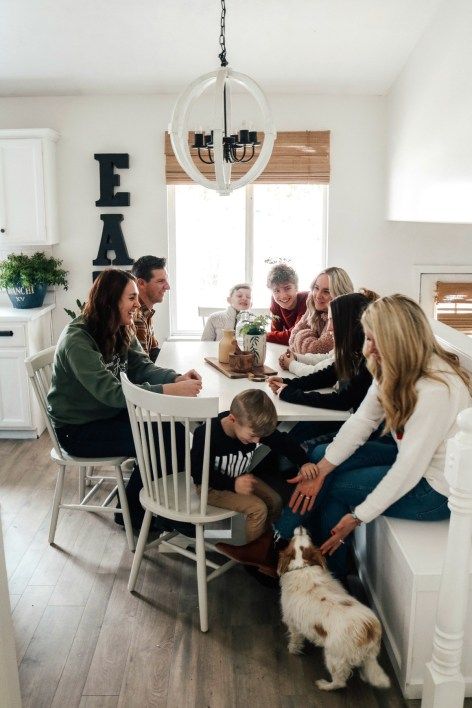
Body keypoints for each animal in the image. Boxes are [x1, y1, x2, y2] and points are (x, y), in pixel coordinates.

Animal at [278, 528, 390, 688]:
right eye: (307, 537)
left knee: (339, 682)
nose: (300, 527)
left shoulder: (292, 622)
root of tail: (367, 628)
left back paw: (324, 685)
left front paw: (293, 649)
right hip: (367, 656)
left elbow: (295, 638)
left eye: (294, 538)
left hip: (333, 656)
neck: (303, 565)